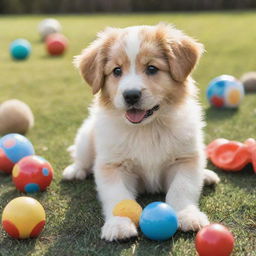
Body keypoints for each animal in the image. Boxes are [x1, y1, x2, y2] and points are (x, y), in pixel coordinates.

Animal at [62, 23, 220, 241]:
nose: (131, 95)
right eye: (116, 71)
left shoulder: (186, 159)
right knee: (81, 158)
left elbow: (181, 188)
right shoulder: (113, 165)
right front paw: (119, 224)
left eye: (152, 68)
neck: (147, 129)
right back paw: (75, 170)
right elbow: (117, 196)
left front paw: (187, 215)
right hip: (86, 136)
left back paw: (206, 175)